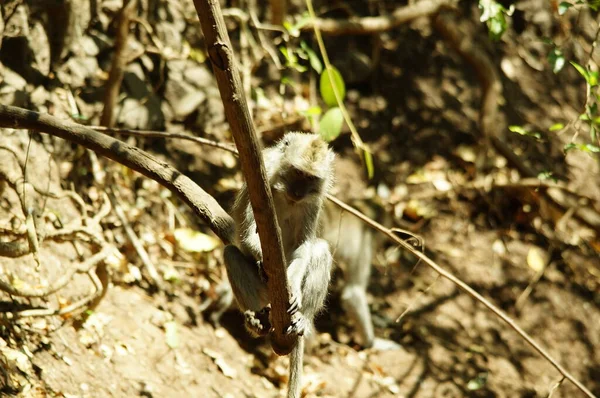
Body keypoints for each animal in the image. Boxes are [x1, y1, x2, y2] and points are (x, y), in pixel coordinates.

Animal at [225, 132, 336, 396]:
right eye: (297, 172)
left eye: (310, 178)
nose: (297, 192)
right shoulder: (259, 176)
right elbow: (245, 233)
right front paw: (261, 260)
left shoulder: (314, 200)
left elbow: (304, 247)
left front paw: (293, 286)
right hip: (263, 294)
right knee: (231, 253)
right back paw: (257, 321)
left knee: (321, 251)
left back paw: (301, 318)